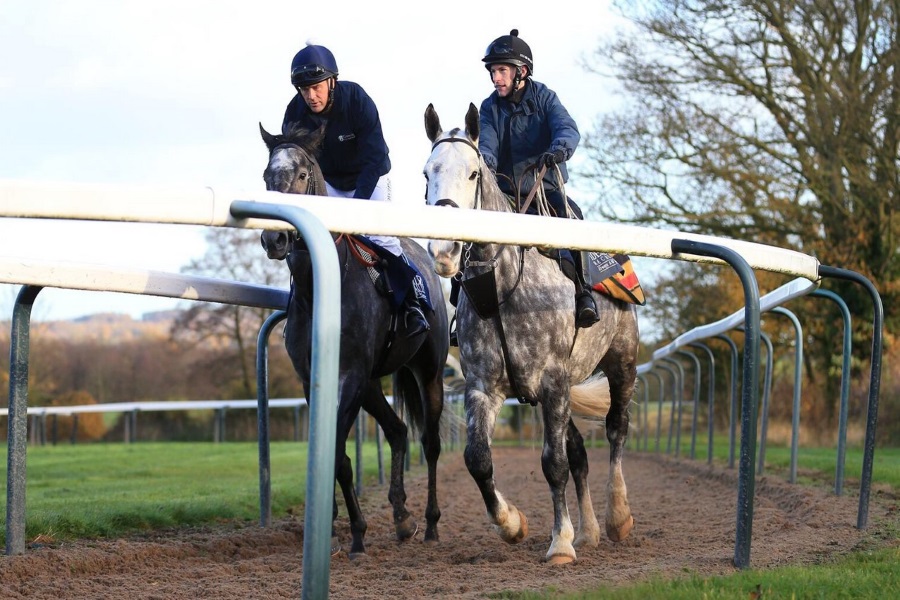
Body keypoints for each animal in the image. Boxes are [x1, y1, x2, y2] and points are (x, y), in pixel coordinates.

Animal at [260, 124, 450, 560]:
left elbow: (336, 453)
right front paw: (337, 525)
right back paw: (402, 516)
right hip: (372, 384)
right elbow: (334, 456)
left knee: (430, 442)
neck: (321, 288)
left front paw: (356, 532)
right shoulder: (313, 378)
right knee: (397, 430)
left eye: (300, 175)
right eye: (266, 177)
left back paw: (430, 523)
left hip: (427, 370)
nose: (274, 238)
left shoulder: (350, 376)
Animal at [422, 103, 640, 564]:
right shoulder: (485, 387)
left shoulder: (554, 383)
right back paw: (590, 530)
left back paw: (617, 516)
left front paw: (560, 544)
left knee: (616, 429)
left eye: (474, 174)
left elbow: (553, 464)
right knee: (579, 452)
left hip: (621, 362)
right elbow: (478, 459)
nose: (445, 251)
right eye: (427, 173)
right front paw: (512, 524)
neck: (504, 289)